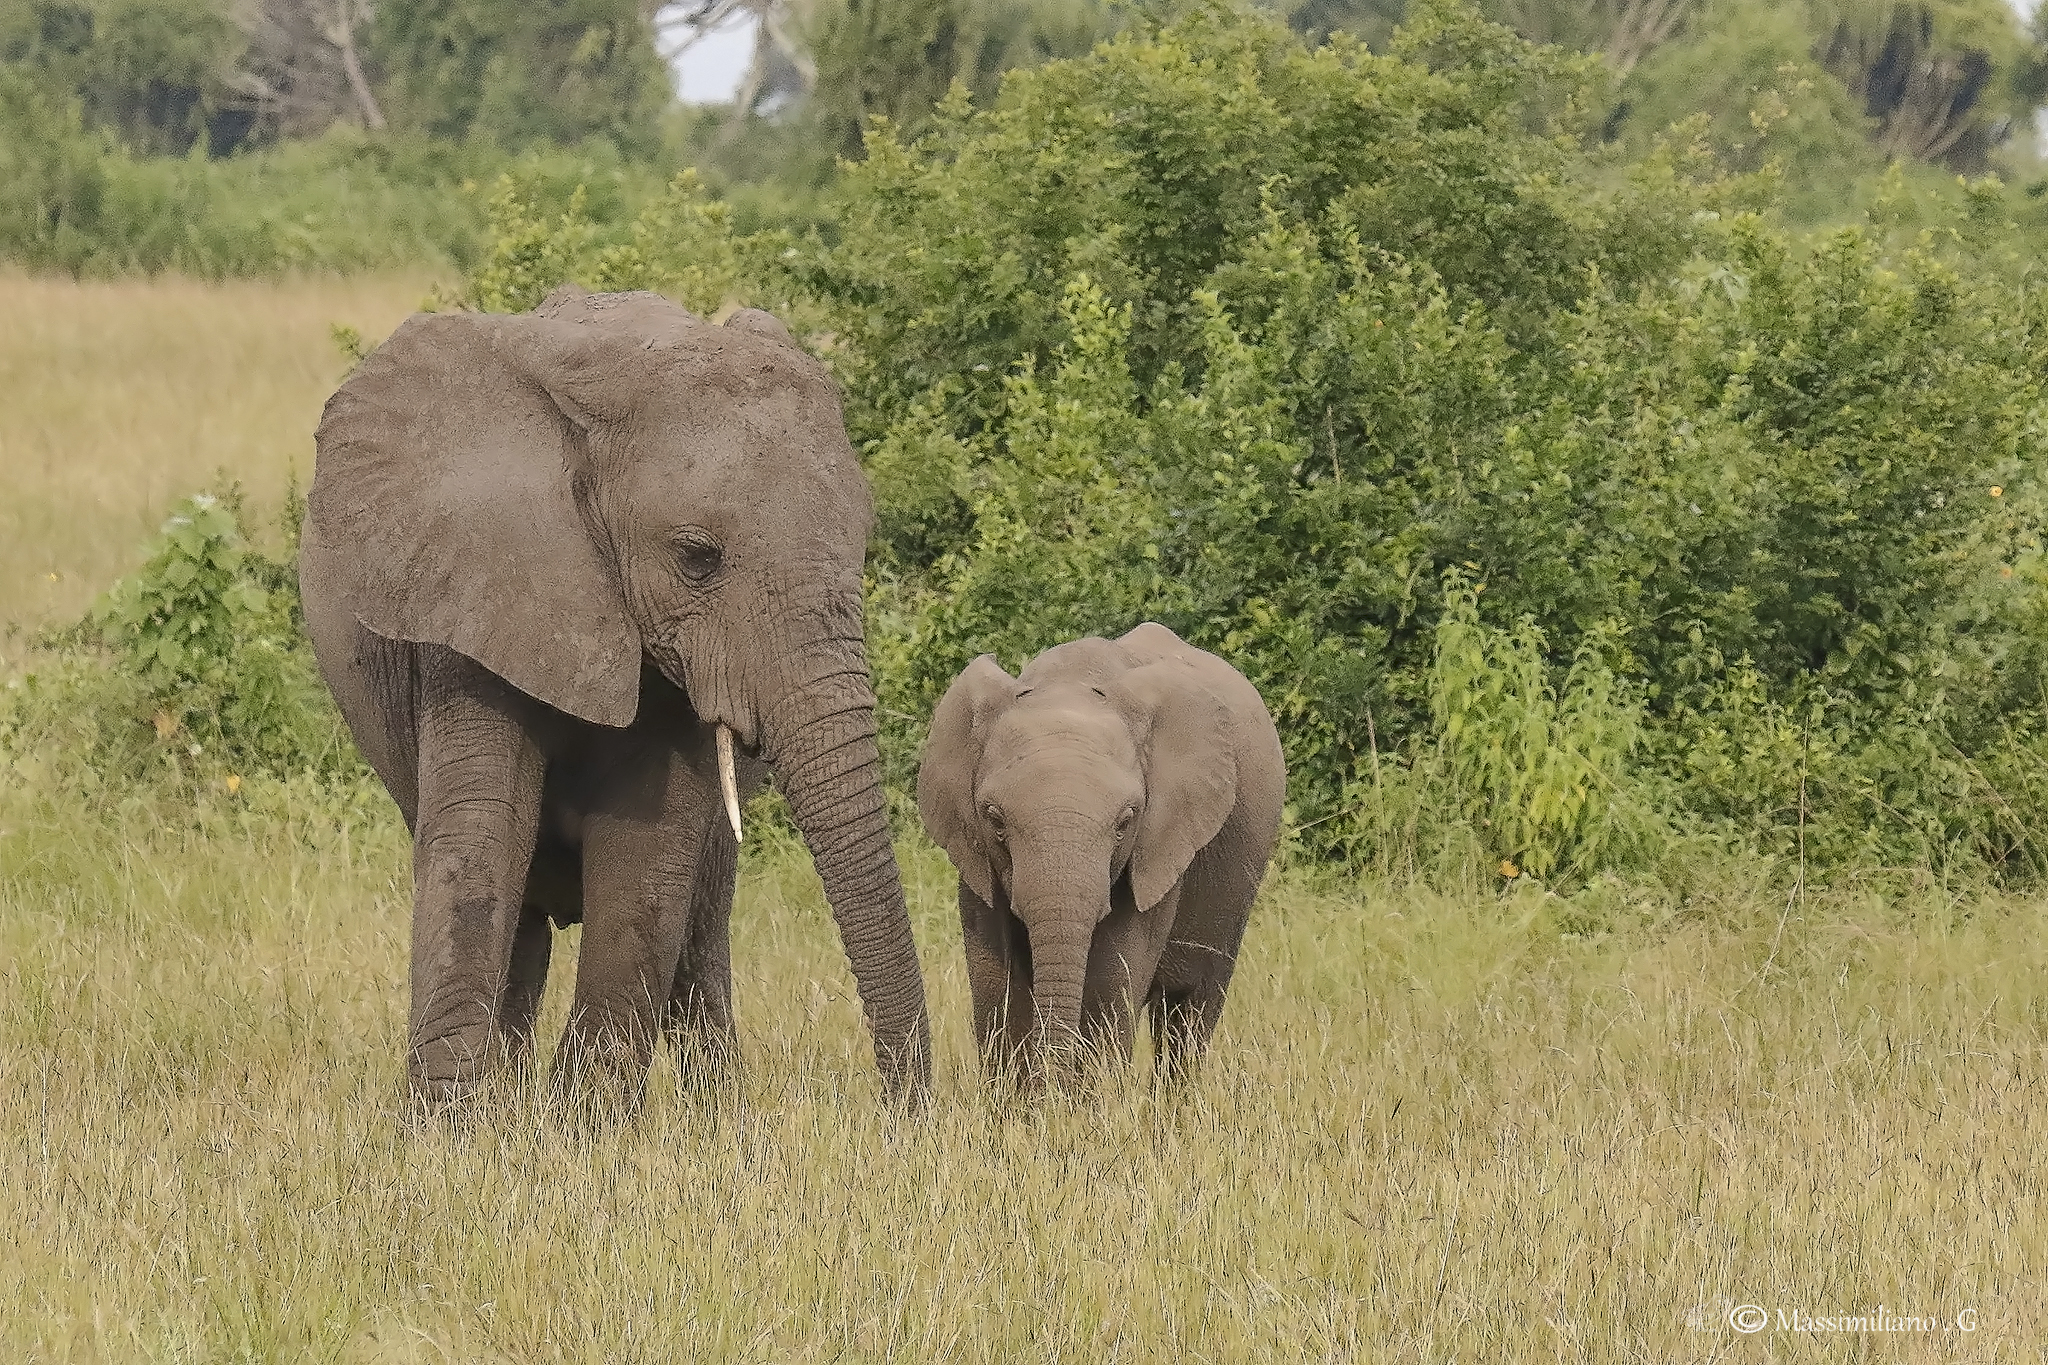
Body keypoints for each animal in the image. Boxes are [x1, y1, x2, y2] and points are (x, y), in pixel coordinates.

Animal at [299, 284, 930, 1108]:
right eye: (696, 557)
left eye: (863, 542)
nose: (903, 1112)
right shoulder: (469, 594)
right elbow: (481, 840)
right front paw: (452, 1128)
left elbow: (646, 852)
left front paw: (580, 1124)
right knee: (525, 909)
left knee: (701, 922)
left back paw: (716, 1118)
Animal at [917, 623, 1285, 1085]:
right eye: (994, 819)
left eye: (1125, 821)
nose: (1050, 1090)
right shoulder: (976, 856)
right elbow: (994, 982)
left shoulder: (1159, 845)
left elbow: (1111, 977)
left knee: (1191, 1012)